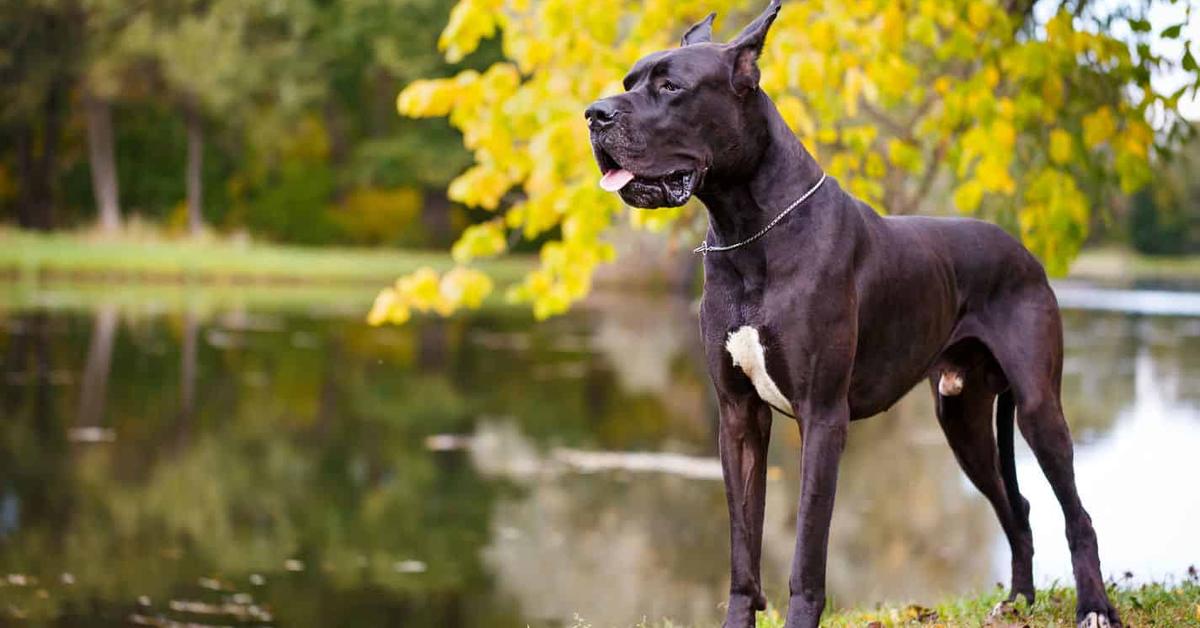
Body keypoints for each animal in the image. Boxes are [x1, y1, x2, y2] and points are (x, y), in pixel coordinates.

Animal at [585, 2, 1118, 624]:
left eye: (671, 87)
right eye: (628, 83)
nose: (593, 115)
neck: (748, 231)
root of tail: (1025, 252)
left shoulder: (823, 417)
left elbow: (806, 555)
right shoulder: (738, 416)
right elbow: (743, 551)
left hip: (1036, 406)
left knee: (1077, 513)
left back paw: (1094, 606)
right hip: (961, 419)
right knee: (1019, 506)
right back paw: (1018, 600)